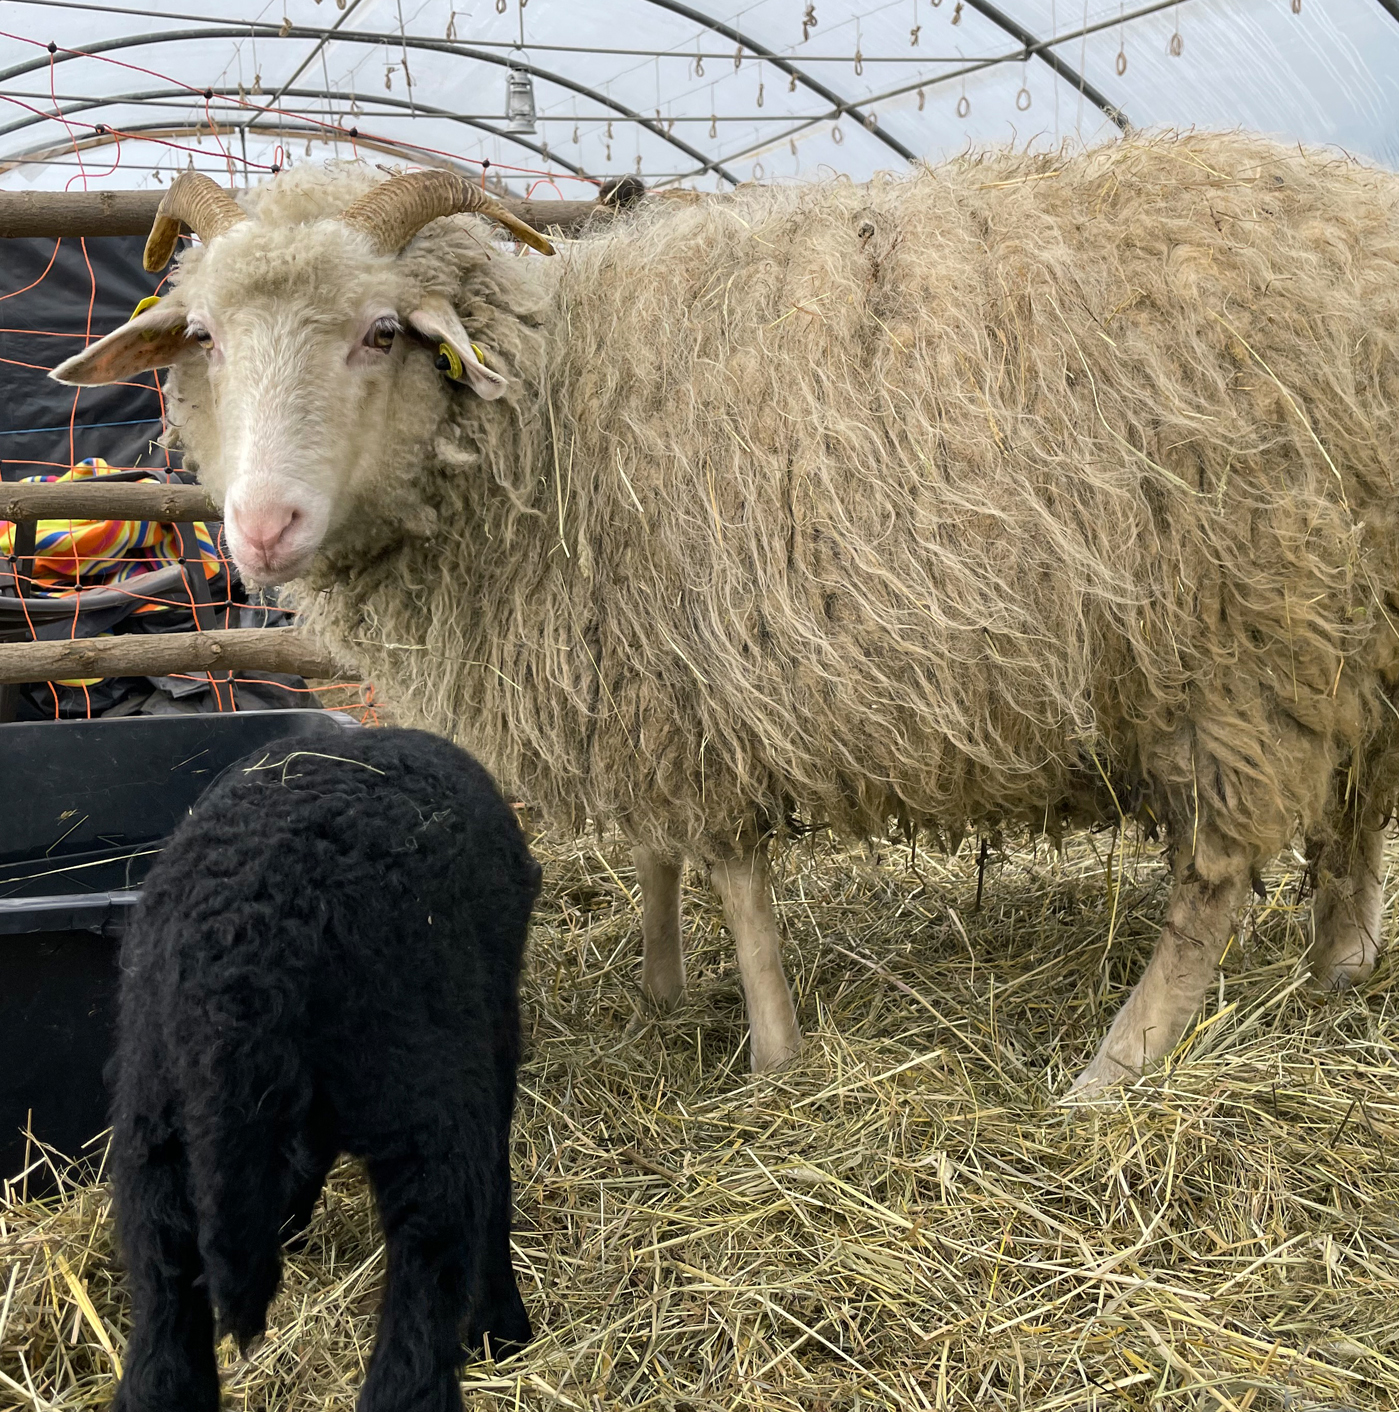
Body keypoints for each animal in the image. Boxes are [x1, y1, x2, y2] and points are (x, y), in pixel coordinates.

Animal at [55, 132, 1399, 1093]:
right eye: (205, 334)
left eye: (380, 332)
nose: (259, 527)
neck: (552, 407)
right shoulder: (630, 662)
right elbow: (659, 849)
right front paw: (660, 986)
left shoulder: (700, 671)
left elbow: (736, 874)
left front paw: (771, 1052)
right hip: (1354, 635)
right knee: (1358, 810)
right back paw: (1336, 969)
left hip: (1249, 642)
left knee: (1213, 881)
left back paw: (1112, 1068)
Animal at [107, 726, 540, 1412]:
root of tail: (243, 958)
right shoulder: (492, 1042)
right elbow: (496, 1185)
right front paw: (501, 1326)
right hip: (425, 1105)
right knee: (415, 1344)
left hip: (153, 1136)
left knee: (161, 1356)